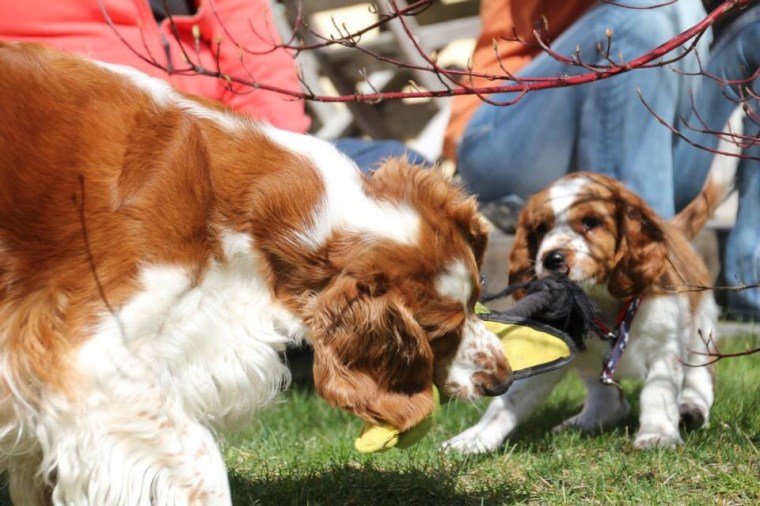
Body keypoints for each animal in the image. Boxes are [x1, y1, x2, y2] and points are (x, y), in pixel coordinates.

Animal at [0, 42, 512, 504]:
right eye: (439, 333)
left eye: (477, 300)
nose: (504, 380)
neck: (236, 206)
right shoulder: (87, 355)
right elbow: (201, 462)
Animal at [444, 162, 735, 453]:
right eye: (541, 228)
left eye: (591, 222)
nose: (552, 259)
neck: (602, 300)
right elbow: (508, 402)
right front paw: (473, 439)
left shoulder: (664, 346)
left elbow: (658, 392)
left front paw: (658, 435)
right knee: (607, 396)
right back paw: (583, 422)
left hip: (700, 328)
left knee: (701, 375)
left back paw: (692, 408)